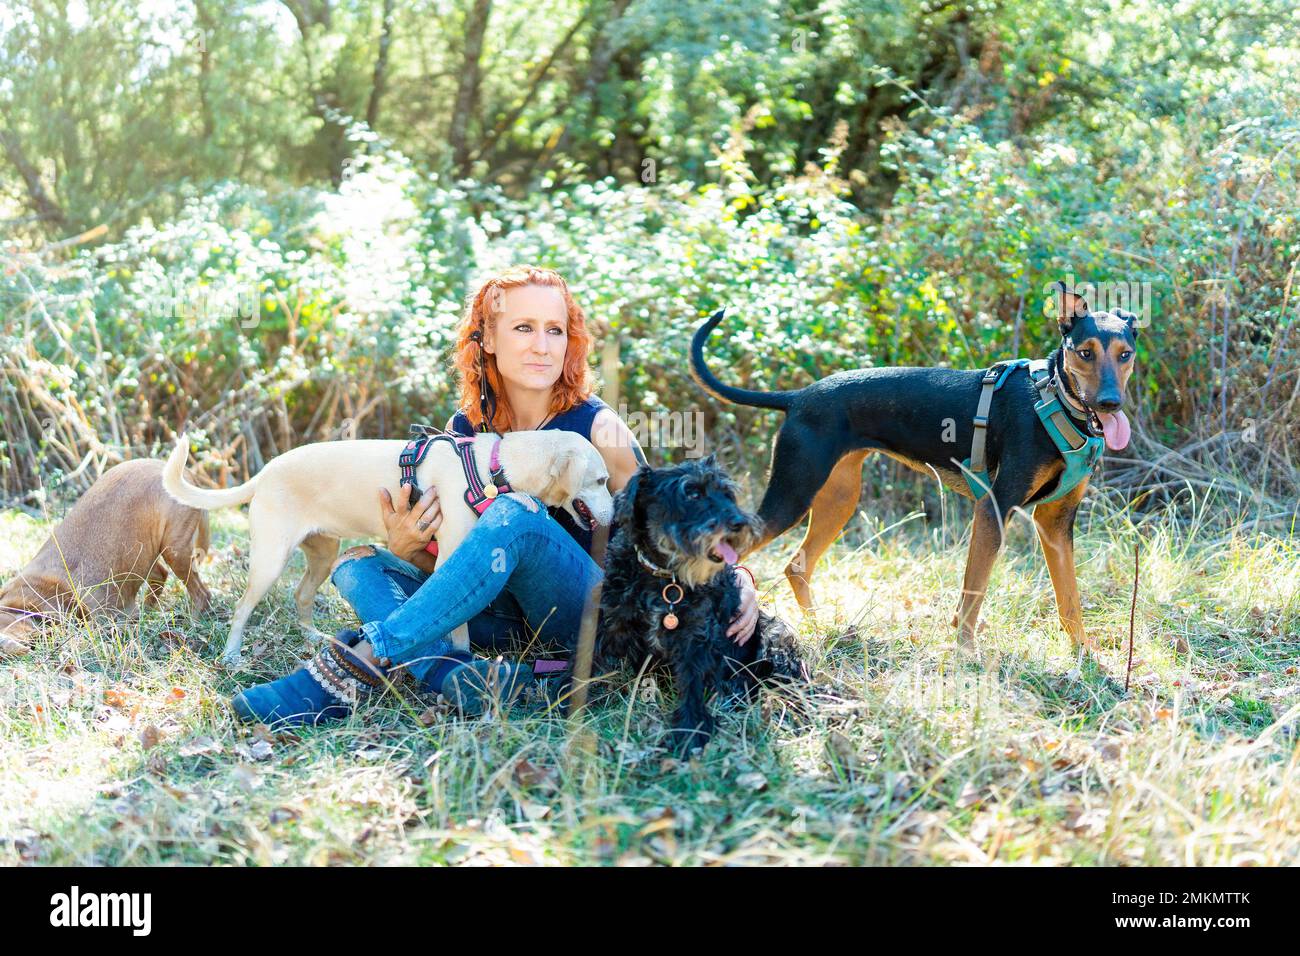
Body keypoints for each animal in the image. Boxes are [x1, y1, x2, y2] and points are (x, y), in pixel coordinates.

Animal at [0, 457, 210, 655]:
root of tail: (185, 472)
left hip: (174, 550)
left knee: (202, 594)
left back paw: (193, 622)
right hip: (145, 552)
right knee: (160, 574)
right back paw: (148, 611)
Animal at [159, 431, 611, 665]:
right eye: (602, 481)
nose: (616, 513)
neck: (489, 467)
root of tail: (265, 472)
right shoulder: (450, 556)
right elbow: (459, 627)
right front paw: (459, 657)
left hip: (324, 554)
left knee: (301, 595)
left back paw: (314, 640)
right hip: (271, 559)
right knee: (242, 607)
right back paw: (232, 655)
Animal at [595, 455, 806, 754]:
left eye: (727, 494)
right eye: (692, 493)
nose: (739, 523)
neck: (666, 577)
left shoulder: (696, 639)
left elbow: (693, 685)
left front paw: (690, 731)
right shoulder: (613, 622)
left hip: (775, 637)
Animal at [691, 280, 1138, 647]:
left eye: (1125, 355)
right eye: (1084, 353)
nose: (1110, 404)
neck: (1055, 399)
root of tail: (797, 397)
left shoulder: (1055, 523)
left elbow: (1070, 600)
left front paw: (1085, 656)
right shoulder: (994, 508)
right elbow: (974, 592)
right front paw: (966, 653)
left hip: (837, 499)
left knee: (797, 566)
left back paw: (818, 628)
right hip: (792, 495)